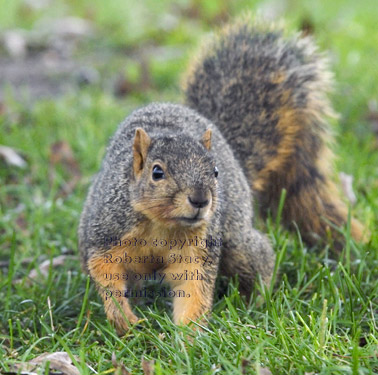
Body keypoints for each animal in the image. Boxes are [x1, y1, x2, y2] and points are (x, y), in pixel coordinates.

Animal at [79, 19, 366, 334]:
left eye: (215, 171)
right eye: (157, 172)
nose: (200, 200)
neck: (162, 225)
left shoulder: (197, 248)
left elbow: (194, 288)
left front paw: (190, 336)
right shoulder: (107, 231)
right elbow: (104, 272)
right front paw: (124, 319)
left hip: (234, 238)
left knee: (259, 256)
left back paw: (256, 302)